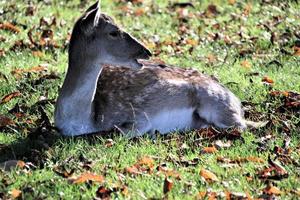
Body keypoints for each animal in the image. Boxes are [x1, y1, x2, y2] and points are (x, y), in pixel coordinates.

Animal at [55, 1, 262, 137]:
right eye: (113, 32)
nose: (146, 51)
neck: (85, 120)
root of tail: (237, 101)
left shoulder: (138, 116)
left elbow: (121, 130)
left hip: (216, 105)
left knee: (241, 126)